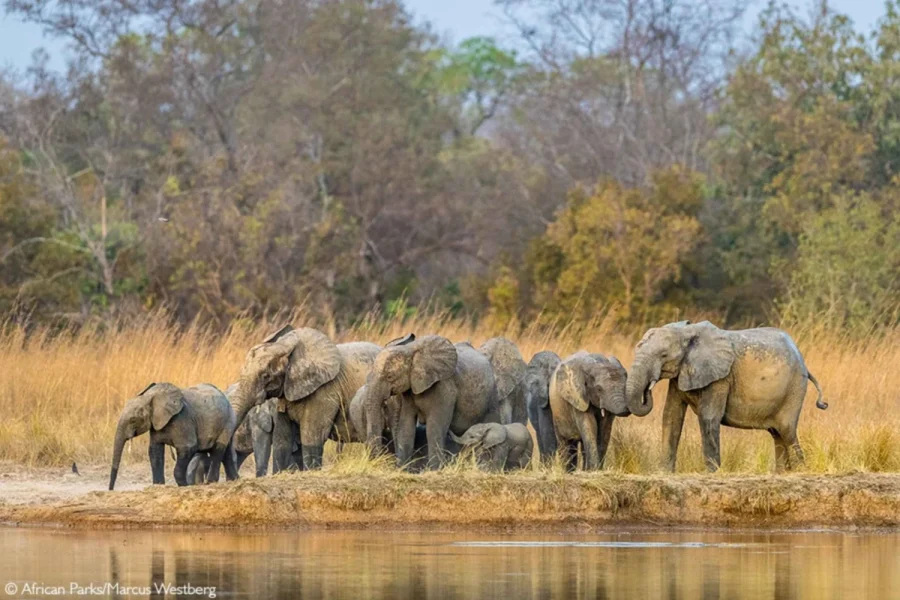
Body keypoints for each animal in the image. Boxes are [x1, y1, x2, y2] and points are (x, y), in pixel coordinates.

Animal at [360, 332, 500, 468]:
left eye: (390, 376)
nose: (376, 462)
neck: (410, 350)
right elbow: (406, 427)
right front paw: (402, 469)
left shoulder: (444, 389)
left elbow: (433, 429)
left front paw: (434, 470)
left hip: (493, 396)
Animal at [624, 322, 828, 472]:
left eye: (663, 355)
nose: (648, 389)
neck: (686, 331)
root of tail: (804, 362)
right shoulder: (680, 375)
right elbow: (671, 416)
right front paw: (664, 473)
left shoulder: (721, 378)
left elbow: (708, 418)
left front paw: (713, 473)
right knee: (777, 434)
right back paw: (781, 474)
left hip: (795, 388)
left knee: (787, 431)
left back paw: (799, 471)